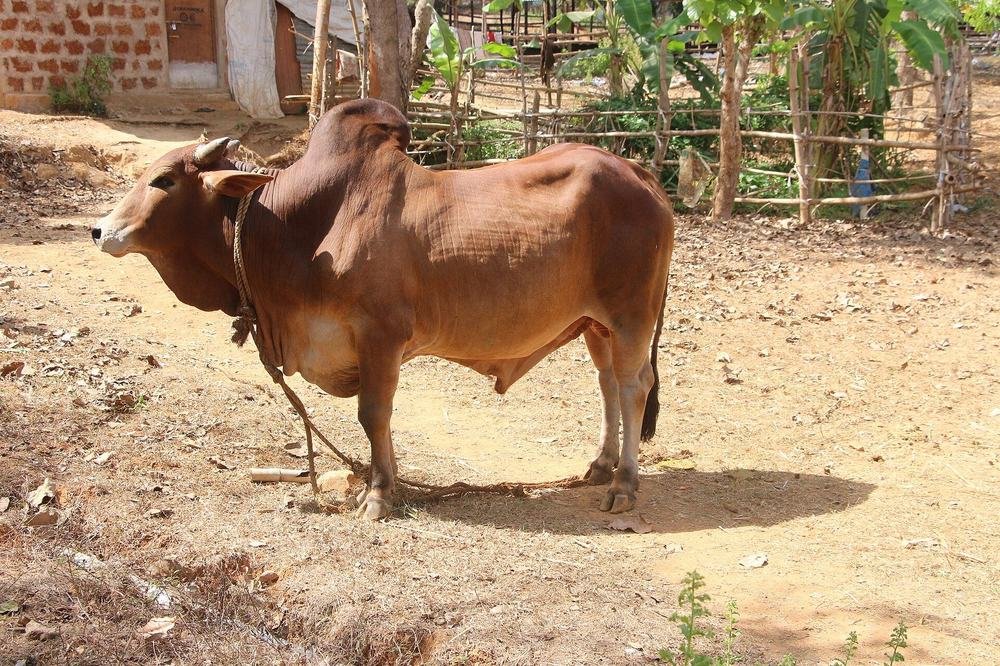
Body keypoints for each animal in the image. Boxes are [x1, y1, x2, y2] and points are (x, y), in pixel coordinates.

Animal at [92, 98, 675, 520]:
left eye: (164, 180)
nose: (99, 230)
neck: (297, 227)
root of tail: (638, 173)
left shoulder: (380, 336)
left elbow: (373, 413)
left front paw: (376, 496)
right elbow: (381, 420)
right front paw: (386, 485)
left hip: (630, 317)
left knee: (632, 387)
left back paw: (624, 486)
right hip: (595, 324)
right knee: (607, 384)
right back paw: (600, 465)